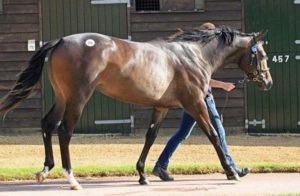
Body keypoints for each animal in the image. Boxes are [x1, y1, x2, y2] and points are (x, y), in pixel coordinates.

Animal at [0, 26, 272, 190]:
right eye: (261, 55)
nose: (267, 82)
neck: (193, 56)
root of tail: (61, 41)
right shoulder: (195, 103)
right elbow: (214, 135)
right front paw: (231, 172)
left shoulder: (161, 107)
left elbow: (150, 137)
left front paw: (142, 175)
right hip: (77, 98)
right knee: (64, 131)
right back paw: (72, 178)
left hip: (62, 96)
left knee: (47, 124)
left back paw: (45, 170)